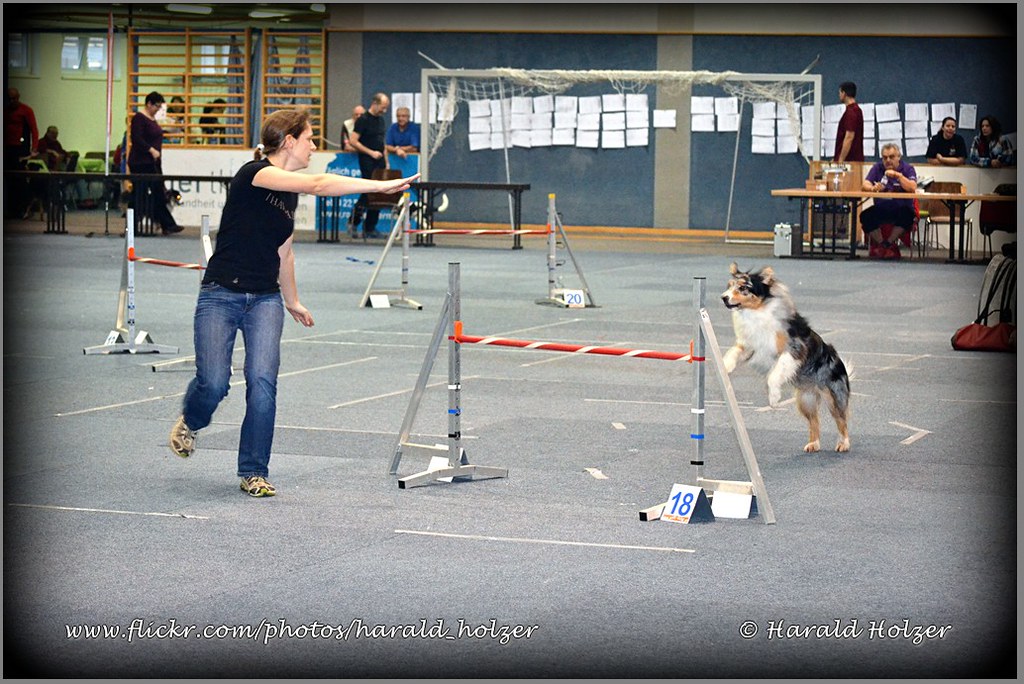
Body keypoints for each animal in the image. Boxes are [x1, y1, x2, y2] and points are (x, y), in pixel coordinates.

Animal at [720, 263, 851, 453]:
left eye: (743, 287)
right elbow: (733, 352)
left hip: (833, 395)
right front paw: (725, 365)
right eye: (729, 286)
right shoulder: (749, 346)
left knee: (841, 419)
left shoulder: (794, 349)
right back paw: (813, 444)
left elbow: (775, 373)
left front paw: (774, 397)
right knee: (814, 421)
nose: (723, 297)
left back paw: (843, 443)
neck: (756, 312)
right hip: (805, 401)